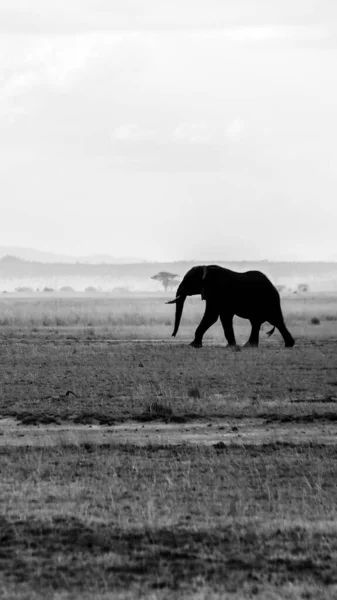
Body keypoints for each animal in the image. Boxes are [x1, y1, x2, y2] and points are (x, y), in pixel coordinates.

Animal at [165, 264, 294, 350]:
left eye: (187, 281)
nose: (173, 335)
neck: (205, 267)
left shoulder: (218, 291)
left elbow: (212, 316)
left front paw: (194, 345)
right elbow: (221, 317)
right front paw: (230, 346)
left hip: (270, 300)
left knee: (275, 320)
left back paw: (288, 345)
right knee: (257, 322)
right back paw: (250, 346)